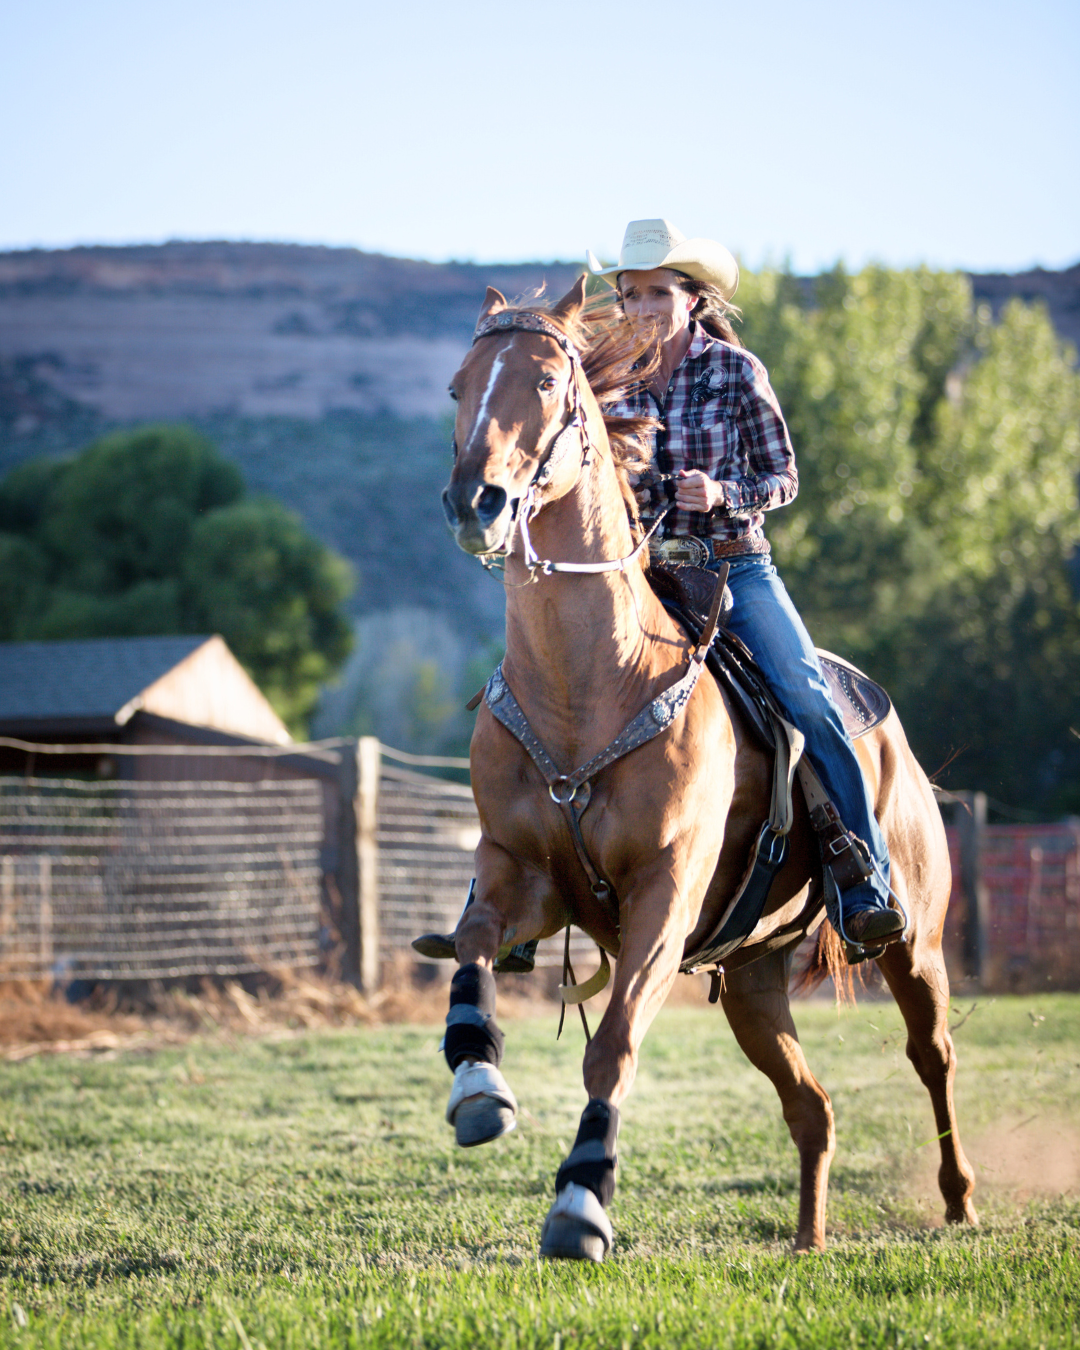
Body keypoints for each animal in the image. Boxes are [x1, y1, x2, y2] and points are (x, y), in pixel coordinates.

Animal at [435, 275, 978, 1260]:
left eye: (547, 381)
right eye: (460, 385)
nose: (476, 502)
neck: (593, 685)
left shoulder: (665, 892)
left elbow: (611, 1045)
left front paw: (582, 1203)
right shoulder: (518, 873)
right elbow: (471, 952)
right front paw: (479, 1092)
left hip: (915, 940)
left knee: (932, 1053)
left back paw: (959, 1199)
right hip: (754, 985)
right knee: (813, 1108)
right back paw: (807, 1238)